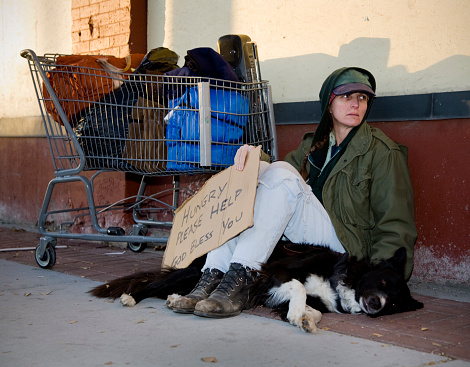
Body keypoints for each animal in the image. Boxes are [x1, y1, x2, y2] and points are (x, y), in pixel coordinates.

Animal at [88, 242, 422, 334]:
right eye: (382, 281)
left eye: (394, 304)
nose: (376, 304)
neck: (339, 278)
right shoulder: (277, 273)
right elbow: (299, 289)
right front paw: (299, 314)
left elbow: (313, 310)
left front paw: (304, 318)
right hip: (192, 272)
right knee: (152, 283)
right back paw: (131, 296)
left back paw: (176, 299)